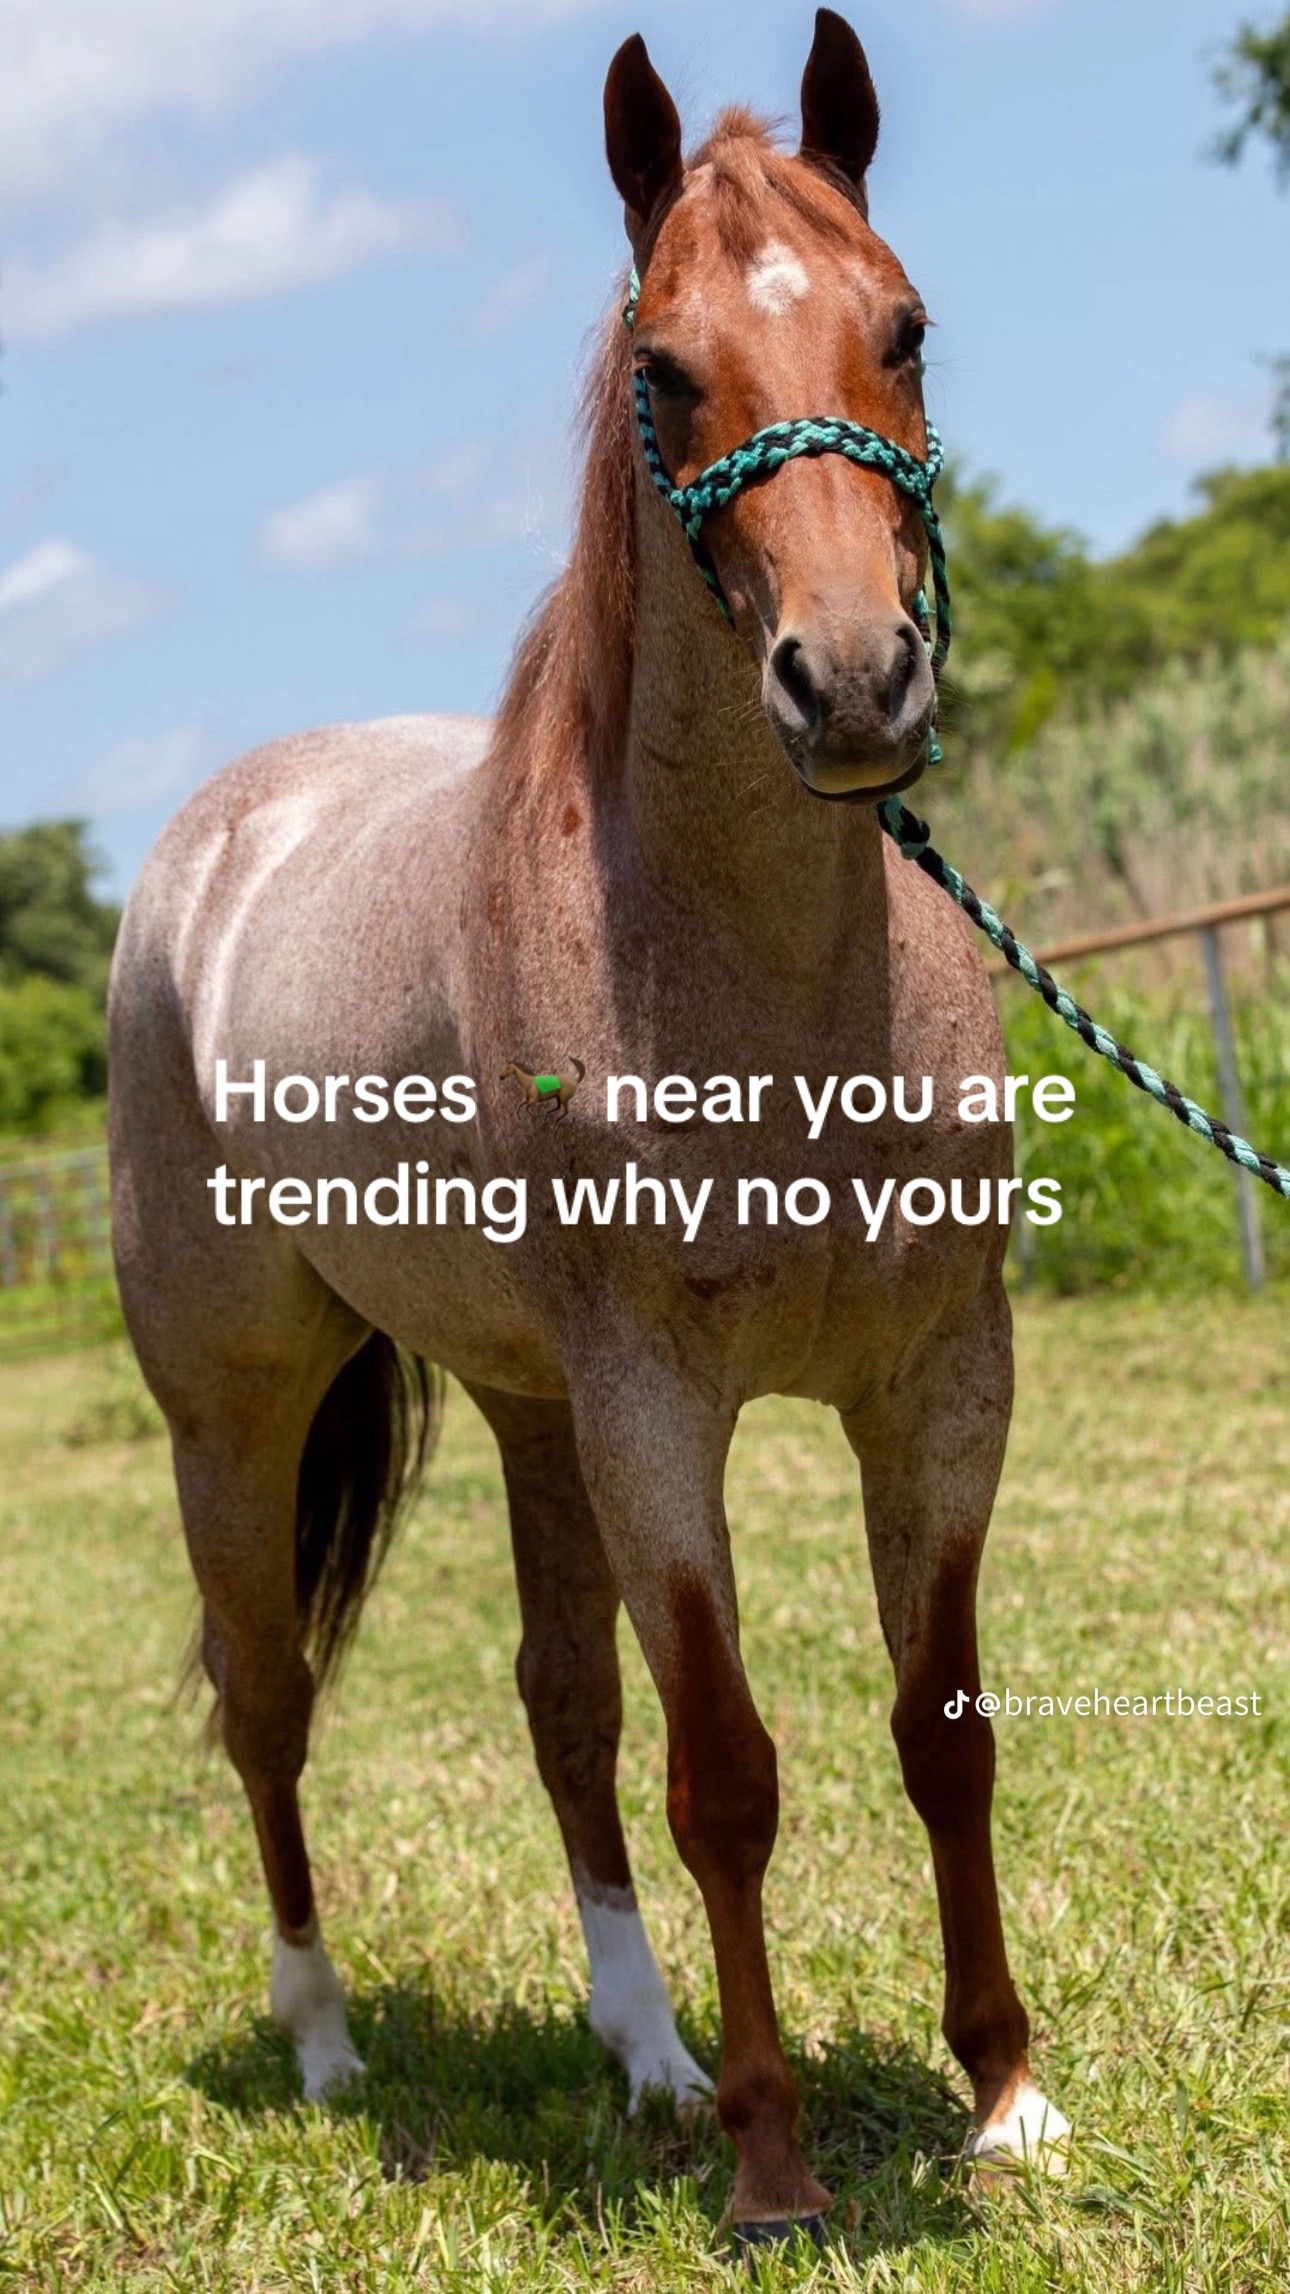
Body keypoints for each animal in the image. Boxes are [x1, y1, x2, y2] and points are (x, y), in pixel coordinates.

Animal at [108, 8, 1070, 2242]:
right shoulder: (659, 1407)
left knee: (563, 1713)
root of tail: (214, 839)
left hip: (528, 1408)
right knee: (268, 1702)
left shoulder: (937, 1378)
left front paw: (1000, 2089)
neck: (771, 997)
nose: (854, 683)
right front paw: (779, 2161)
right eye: (667, 372)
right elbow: (731, 1770)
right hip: (239, 1413)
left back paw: (645, 2060)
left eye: (905, 327)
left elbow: (941, 1726)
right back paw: (328, 2049)